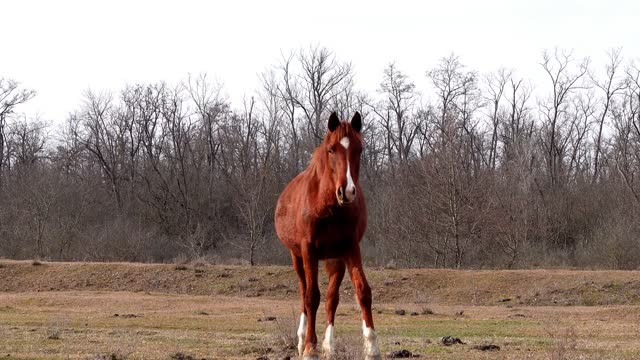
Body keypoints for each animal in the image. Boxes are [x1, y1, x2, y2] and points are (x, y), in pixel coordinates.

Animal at [276, 111, 380, 358]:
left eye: (359, 149)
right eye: (332, 149)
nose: (347, 191)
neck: (329, 206)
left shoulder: (350, 248)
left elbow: (363, 292)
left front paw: (372, 348)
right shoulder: (308, 250)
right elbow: (311, 297)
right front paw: (309, 347)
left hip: (335, 259)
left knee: (332, 299)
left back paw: (329, 346)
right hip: (297, 257)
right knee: (304, 293)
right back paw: (302, 340)